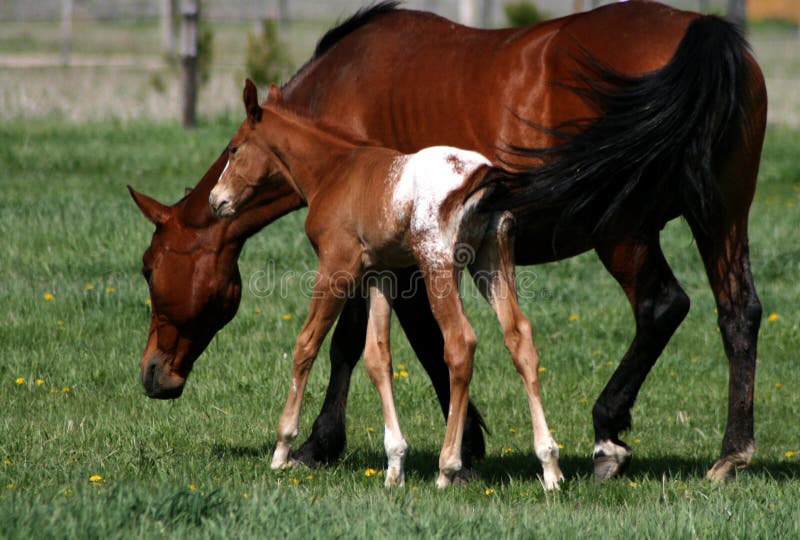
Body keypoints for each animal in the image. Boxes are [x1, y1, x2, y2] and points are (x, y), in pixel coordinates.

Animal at [133, 0, 768, 480]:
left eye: (148, 268)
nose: (152, 375)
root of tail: (702, 31)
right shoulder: (394, 261)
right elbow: (393, 344)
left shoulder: (374, 260)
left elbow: (362, 344)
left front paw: (324, 444)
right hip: (721, 218)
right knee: (737, 312)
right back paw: (729, 454)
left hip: (623, 232)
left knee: (661, 306)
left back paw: (608, 435)